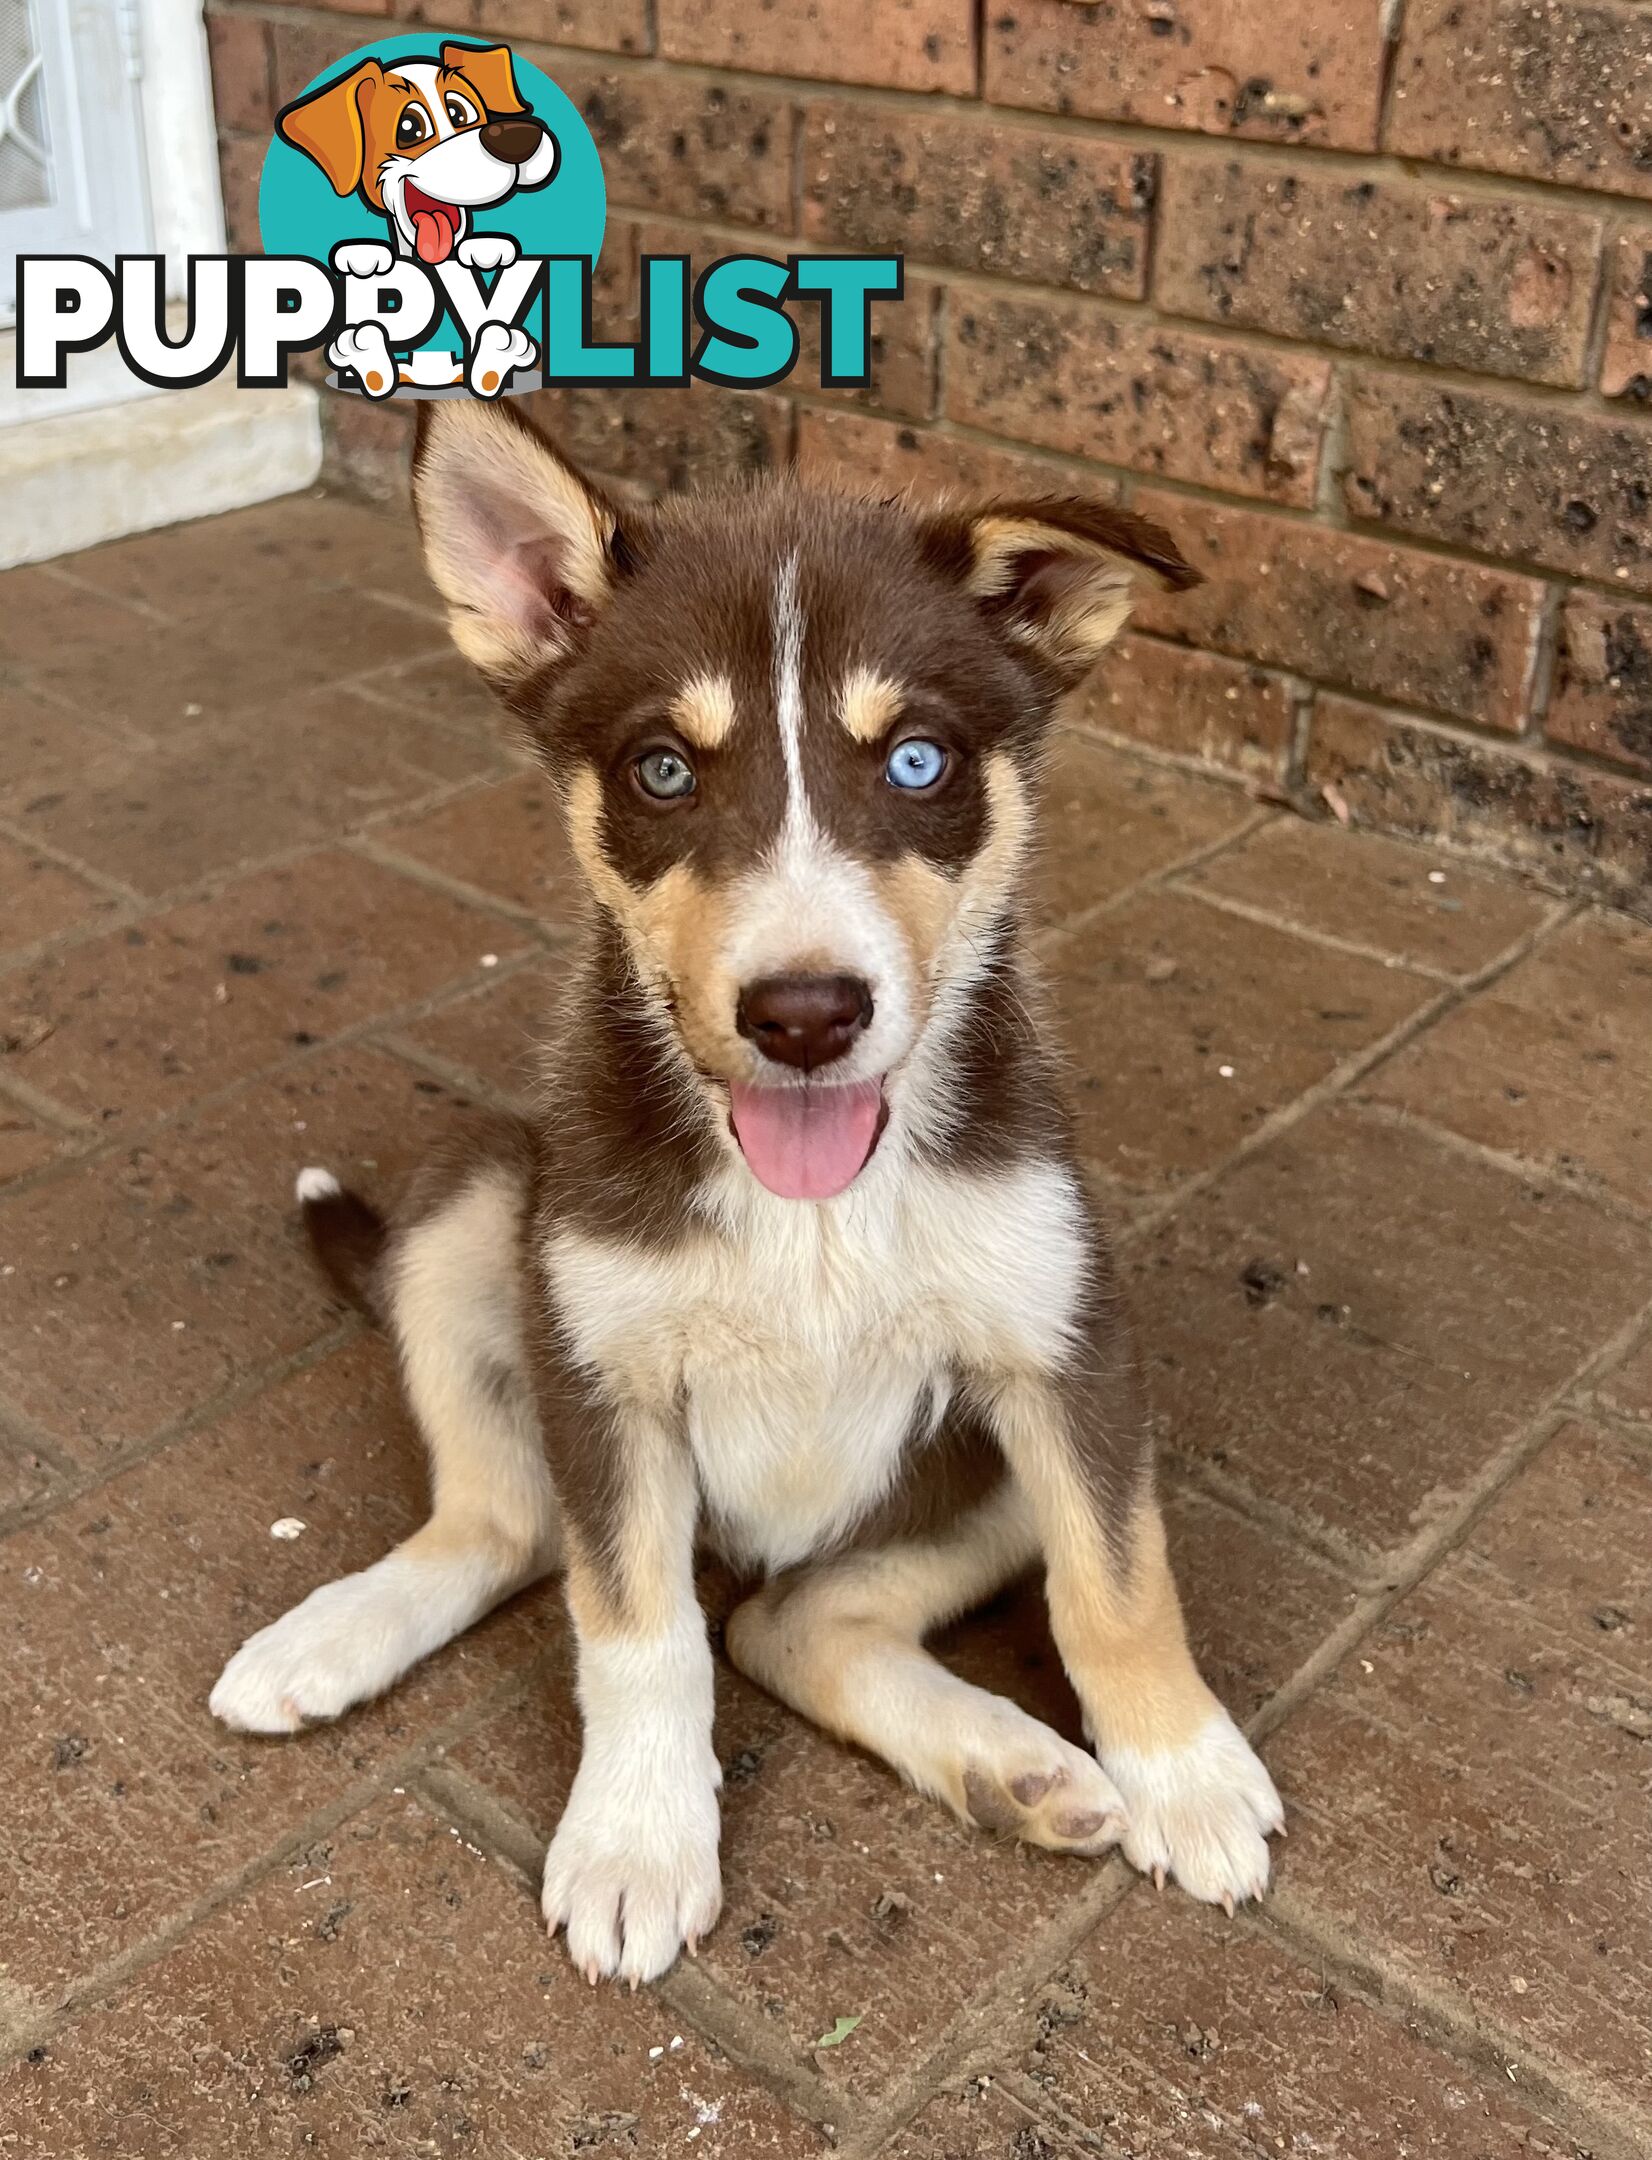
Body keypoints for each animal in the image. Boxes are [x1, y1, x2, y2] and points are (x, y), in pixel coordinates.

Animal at [209, 397, 1287, 1978]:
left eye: (918, 762)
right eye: (664, 771)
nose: (805, 1014)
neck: (815, 1206)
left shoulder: (1069, 1352)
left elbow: (1117, 1580)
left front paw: (1185, 1774)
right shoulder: (600, 1377)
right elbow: (634, 1631)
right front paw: (636, 1842)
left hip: (974, 1467)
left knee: (787, 1624)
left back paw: (1010, 1768)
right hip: (483, 1204)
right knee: (518, 1527)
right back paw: (327, 1640)